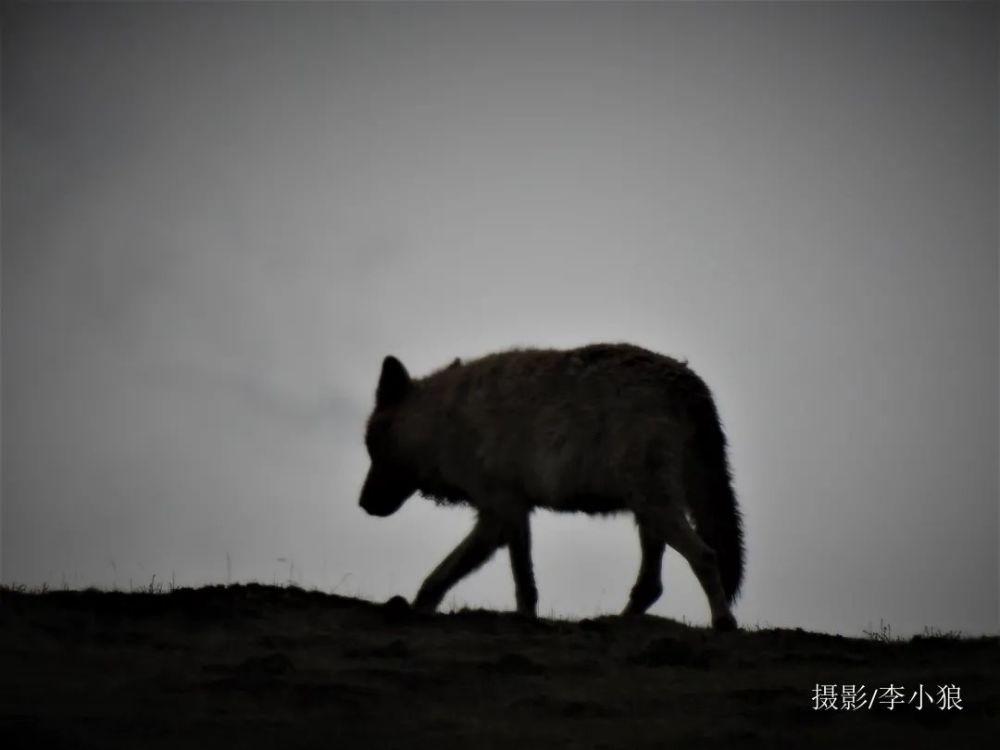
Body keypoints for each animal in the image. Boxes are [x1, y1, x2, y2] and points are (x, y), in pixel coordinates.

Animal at [358, 344, 744, 632]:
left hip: (655, 508)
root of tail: (689, 383)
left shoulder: (496, 516)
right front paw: (526, 621)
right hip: (648, 514)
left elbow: (440, 576)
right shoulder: (516, 514)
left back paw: (724, 623)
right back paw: (612, 622)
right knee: (652, 585)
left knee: (705, 556)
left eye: (373, 450)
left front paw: (415, 610)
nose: (362, 504)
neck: (440, 421)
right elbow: (523, 584)